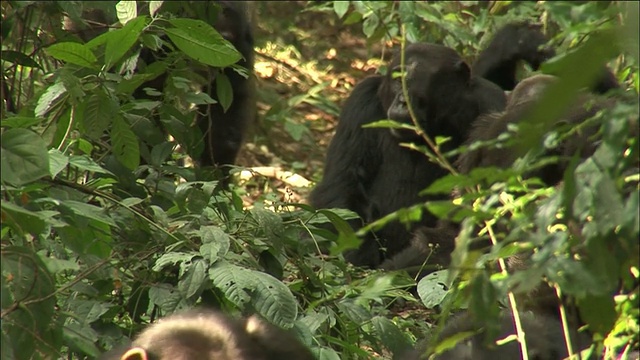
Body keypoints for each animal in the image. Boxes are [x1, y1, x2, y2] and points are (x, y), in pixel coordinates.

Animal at [308, 43, 508, 268]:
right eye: (398, 80)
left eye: (414, 82)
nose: (402, 101)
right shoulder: (361, 101)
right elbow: (342, 182)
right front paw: (355, 255)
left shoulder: (492, 104)